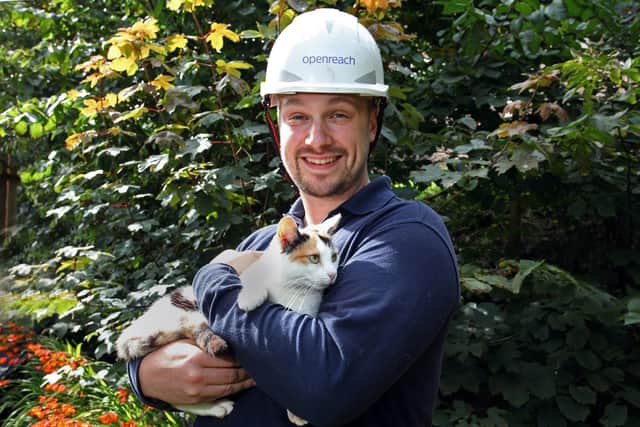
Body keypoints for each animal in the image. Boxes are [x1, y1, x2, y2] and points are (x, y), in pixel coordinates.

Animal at [117, 214, 342, 424]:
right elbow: (252, 281)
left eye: (334, 256)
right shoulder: (250, 272)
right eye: (314, 258)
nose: (333, 274)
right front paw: (249, 299)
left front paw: (296, 413)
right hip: (188, 311)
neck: (295, 290)